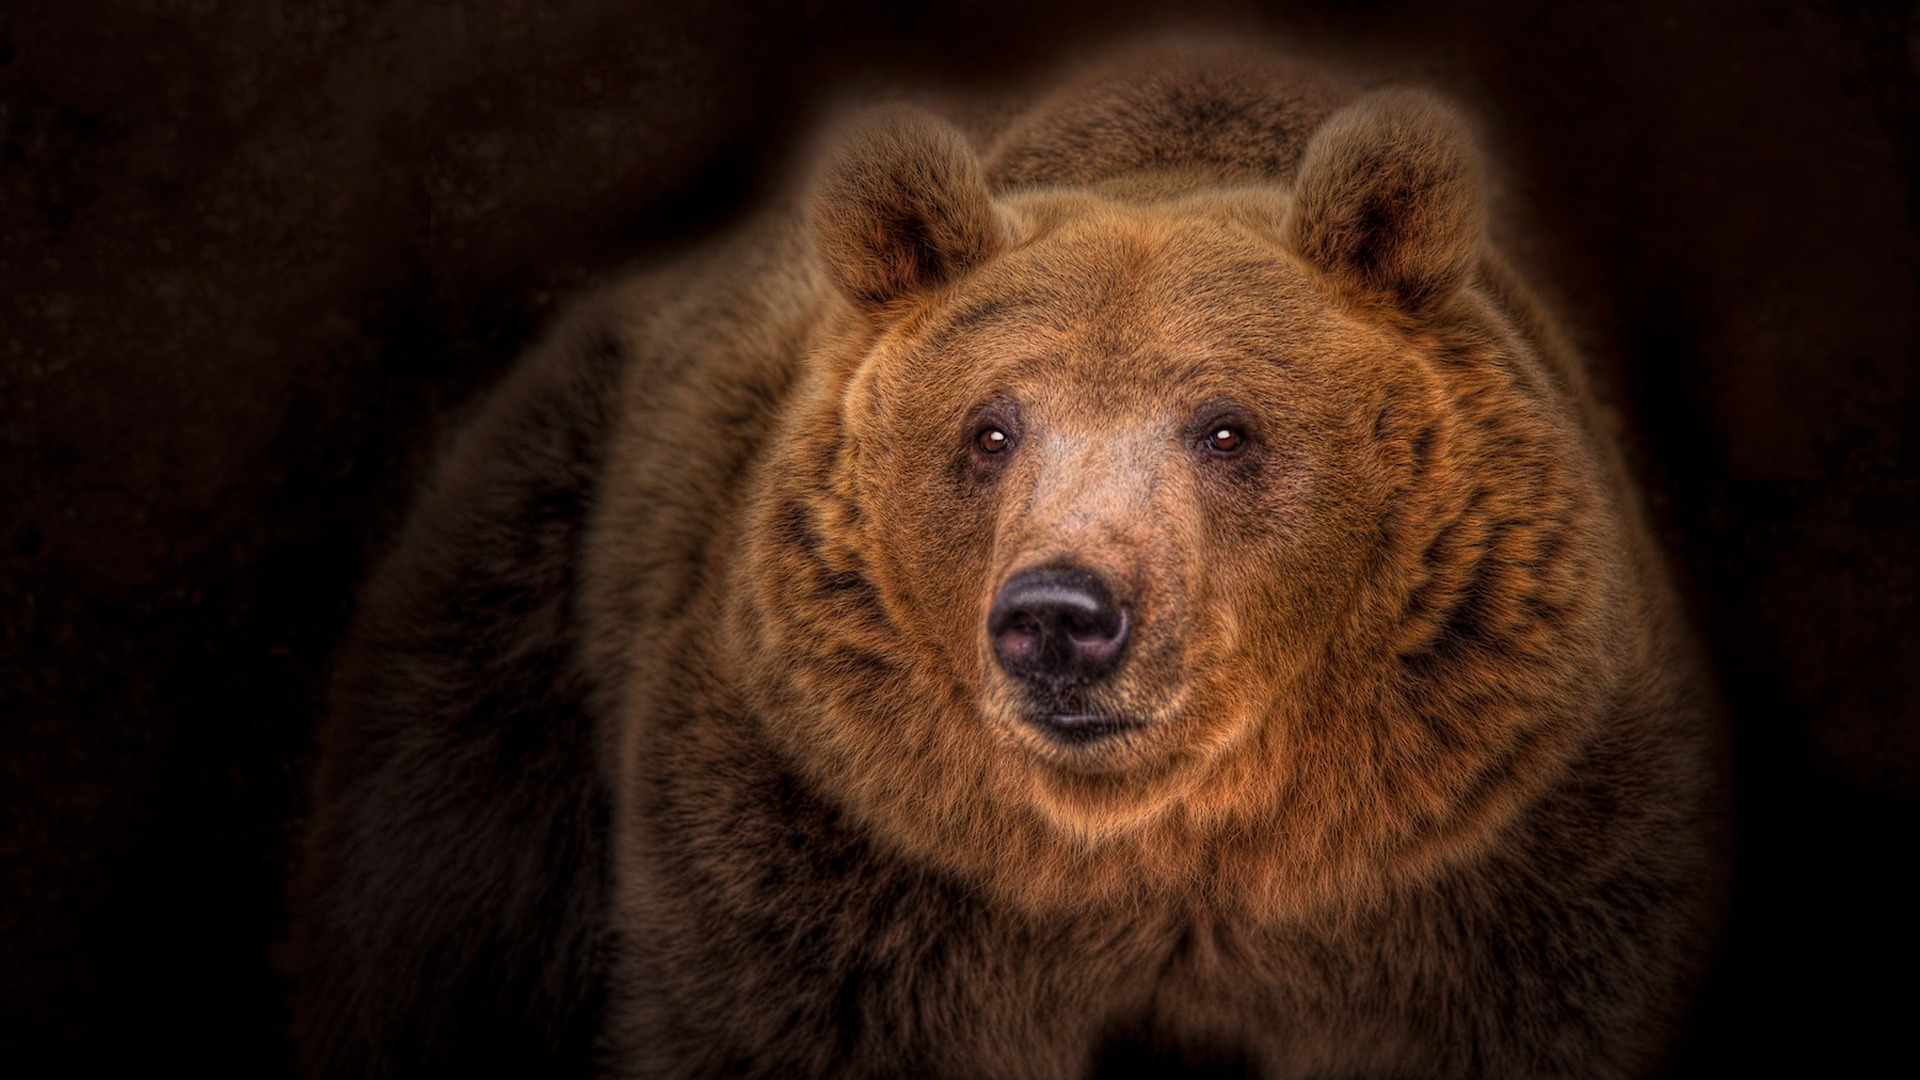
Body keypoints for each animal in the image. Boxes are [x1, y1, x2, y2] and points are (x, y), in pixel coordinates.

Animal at [288, 39, 1728, 1076]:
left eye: (1227, 426)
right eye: (990, 427)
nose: (1062, 616)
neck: (1170, 840)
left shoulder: (1495, 832)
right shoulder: (846, 837)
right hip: (522, 612)